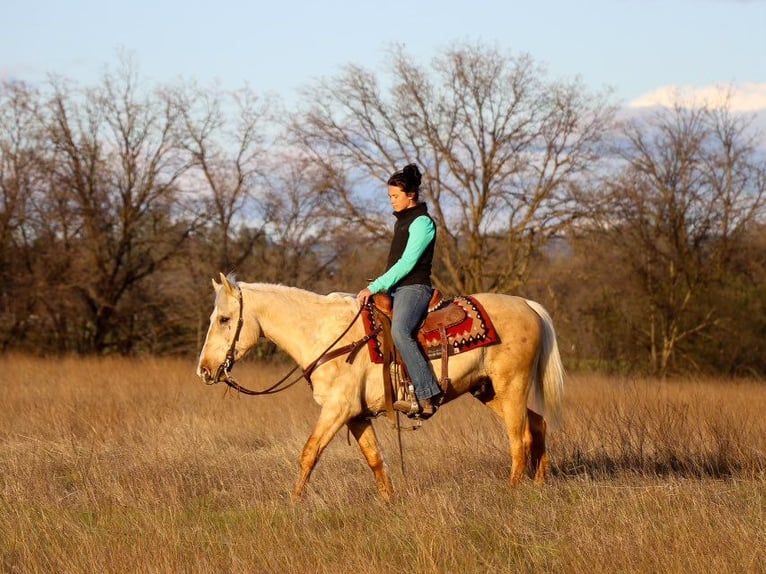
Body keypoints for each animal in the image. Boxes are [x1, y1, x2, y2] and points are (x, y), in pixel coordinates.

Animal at [198, 272, 568, 502]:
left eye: (224, 319)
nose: (204, 370)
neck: (327, 334)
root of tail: (528, 305)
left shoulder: (337, 409)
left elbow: (309, 453)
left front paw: (293, 504)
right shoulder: (356, 415)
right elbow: (375, 458)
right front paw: (389, 503)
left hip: (511, 386)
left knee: (518, 437)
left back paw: (514, 490)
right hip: (489, 390)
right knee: (537, 425)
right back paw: (539, 484)